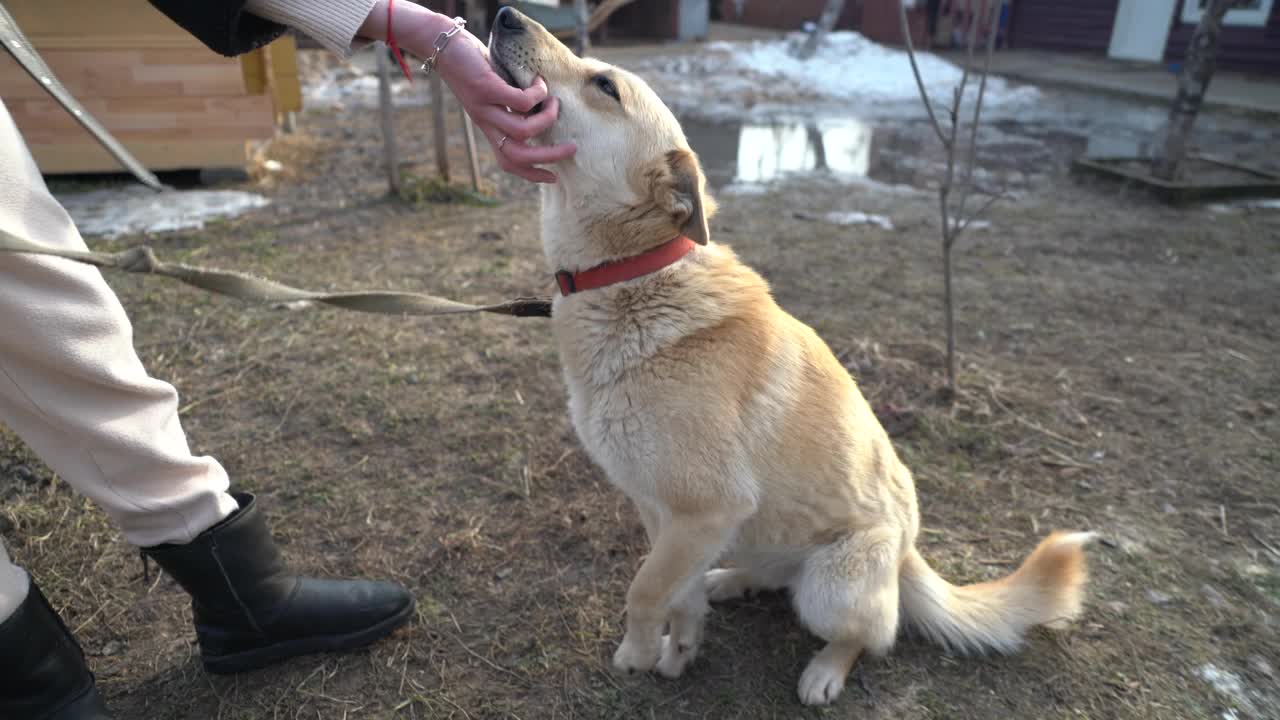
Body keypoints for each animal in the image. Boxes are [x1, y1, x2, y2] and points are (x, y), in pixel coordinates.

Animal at [483, 8, 1095, 702]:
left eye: (605, 85)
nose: (504, 14)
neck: (634, 279)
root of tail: (908, 553)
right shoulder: (669, 514)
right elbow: (673, 589)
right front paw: (681, 646)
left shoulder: (705, 508)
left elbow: (644, 591)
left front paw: (637, 654)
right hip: (754, 539)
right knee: (768, 577)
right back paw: (732, 581)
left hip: (832, 584)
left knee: (870, 635)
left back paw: (825, 672)